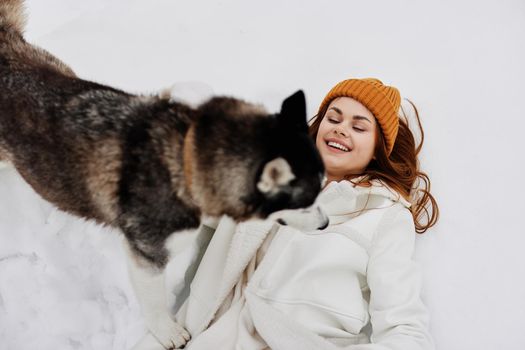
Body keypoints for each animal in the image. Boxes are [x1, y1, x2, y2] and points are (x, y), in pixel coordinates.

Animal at [1, 1, 328, 348]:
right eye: (304, 201)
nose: (326, 224)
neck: (183, 169)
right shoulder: (146, 254)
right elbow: (154, 299)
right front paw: (166, 331)